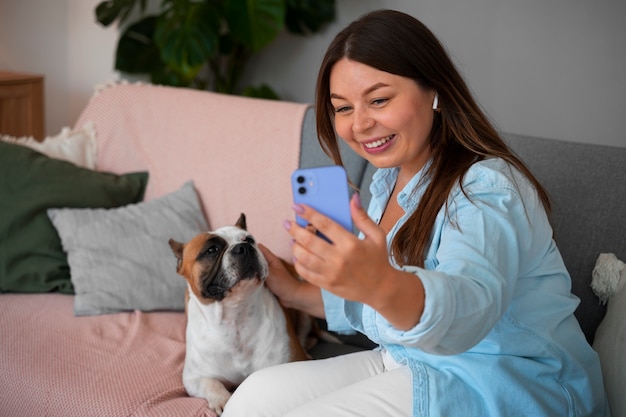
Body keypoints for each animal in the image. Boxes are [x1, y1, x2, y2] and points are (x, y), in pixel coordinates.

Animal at [168, 213, 310, 414]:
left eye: (249, 239)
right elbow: (211, 384)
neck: (234, 316)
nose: (244, 247)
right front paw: (222, 399)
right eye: (211, 250)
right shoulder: (194, 378)